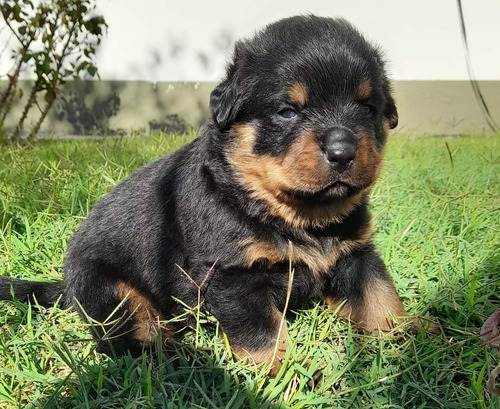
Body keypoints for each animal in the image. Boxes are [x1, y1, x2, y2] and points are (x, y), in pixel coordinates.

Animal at [0, 15, 404, 374]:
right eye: (287, 112)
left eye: (368, 107)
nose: (342, 150)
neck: (296, 214)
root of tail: (67, 287)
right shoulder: (231, 275)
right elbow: (263, 335)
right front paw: (286, 376)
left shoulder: (356, 252)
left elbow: (380, 298)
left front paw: (407, 345)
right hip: (109, 291)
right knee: (132, 342)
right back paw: (193, 360)